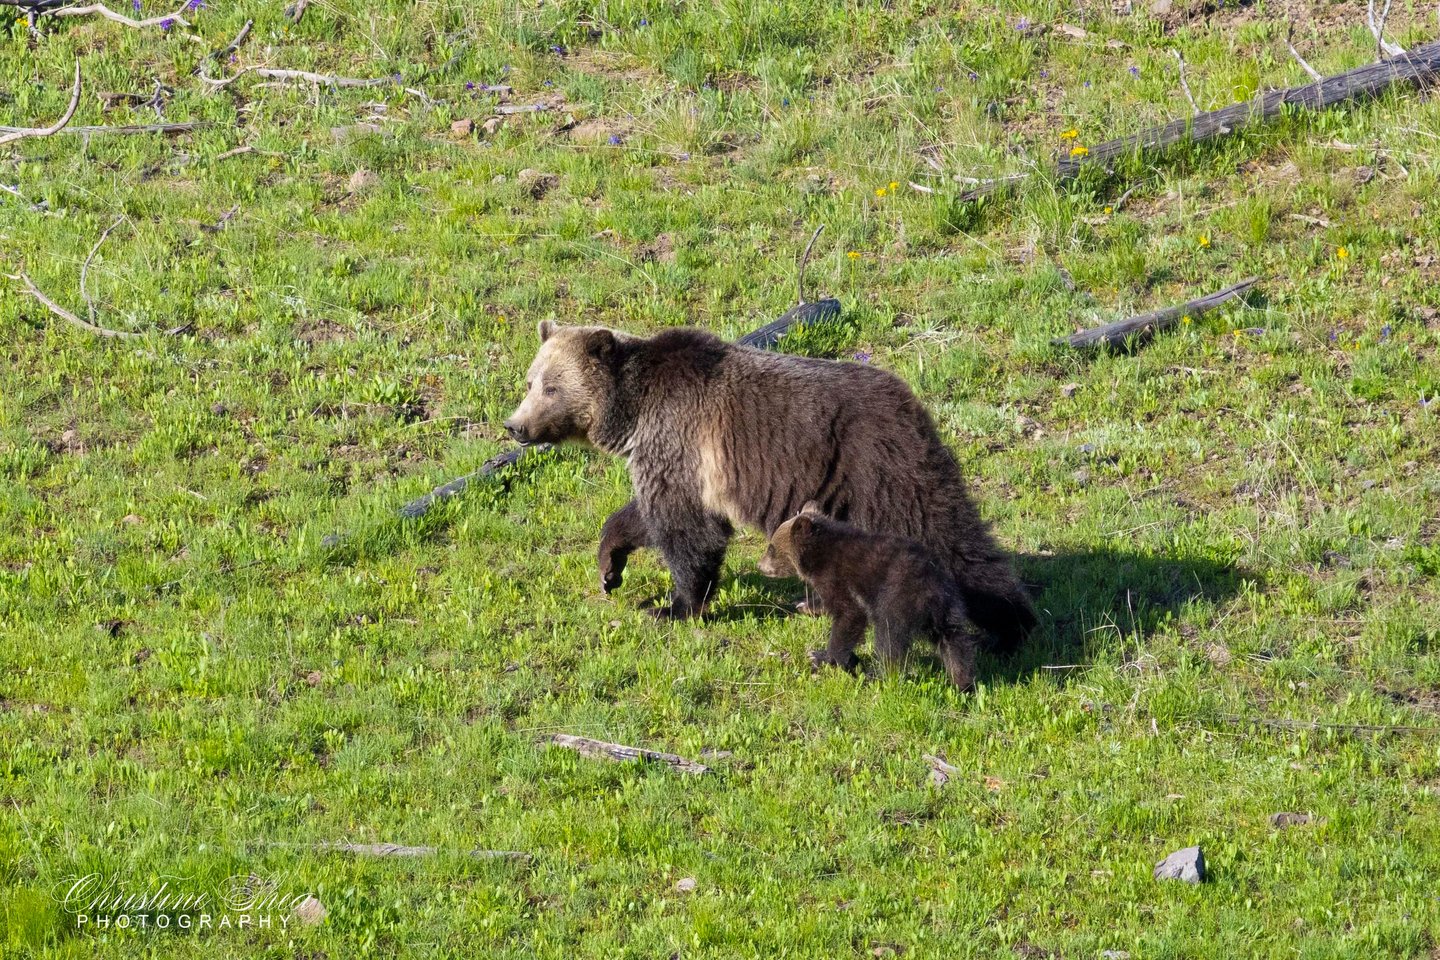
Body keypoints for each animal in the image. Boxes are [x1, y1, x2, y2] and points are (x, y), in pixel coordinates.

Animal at [503, 321, 1035, 649]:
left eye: (551, 386)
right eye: (529, 381)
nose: (515, 426)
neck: (631, 414)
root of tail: (913, 403)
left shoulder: (680, 437)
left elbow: (688, 531)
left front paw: (673, 606)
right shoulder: (672, 460)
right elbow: (648, 514)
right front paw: (610, 567)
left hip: (876, 467)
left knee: (947, 534)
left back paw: (1011, 623)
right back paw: (812, 603)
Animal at [758, 501, 979, 688]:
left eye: (771, 548)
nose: (759, 565)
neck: (817, 559)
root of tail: (933, 589)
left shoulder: (838, 577)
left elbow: (849, 614)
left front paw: (823, 656)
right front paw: (804, 605)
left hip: (898, 598)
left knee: (889, 640)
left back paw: (878, 676)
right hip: (949, 609)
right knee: (955, 643)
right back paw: (963, 684)